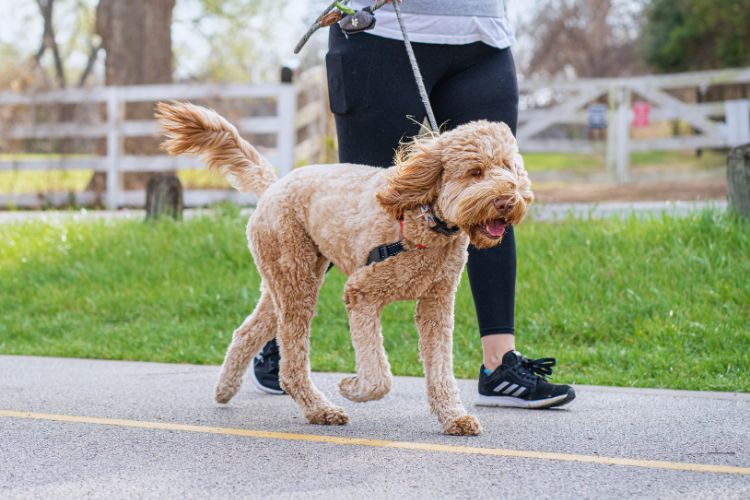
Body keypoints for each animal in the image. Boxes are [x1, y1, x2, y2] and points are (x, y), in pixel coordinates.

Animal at [157, 100, 536, 434]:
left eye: (508, 167)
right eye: (475, 172)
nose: (508, 200)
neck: (425, 219)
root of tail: (274, 186)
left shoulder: (436, 304)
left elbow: (441, 369)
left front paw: (453, 417)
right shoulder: (361, 293)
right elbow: (379, 376)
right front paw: (353, 387)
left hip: (287, 279)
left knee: (247, 332)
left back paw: (225, 389)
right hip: (296, 279)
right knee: (291, 363)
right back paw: (320, 409)